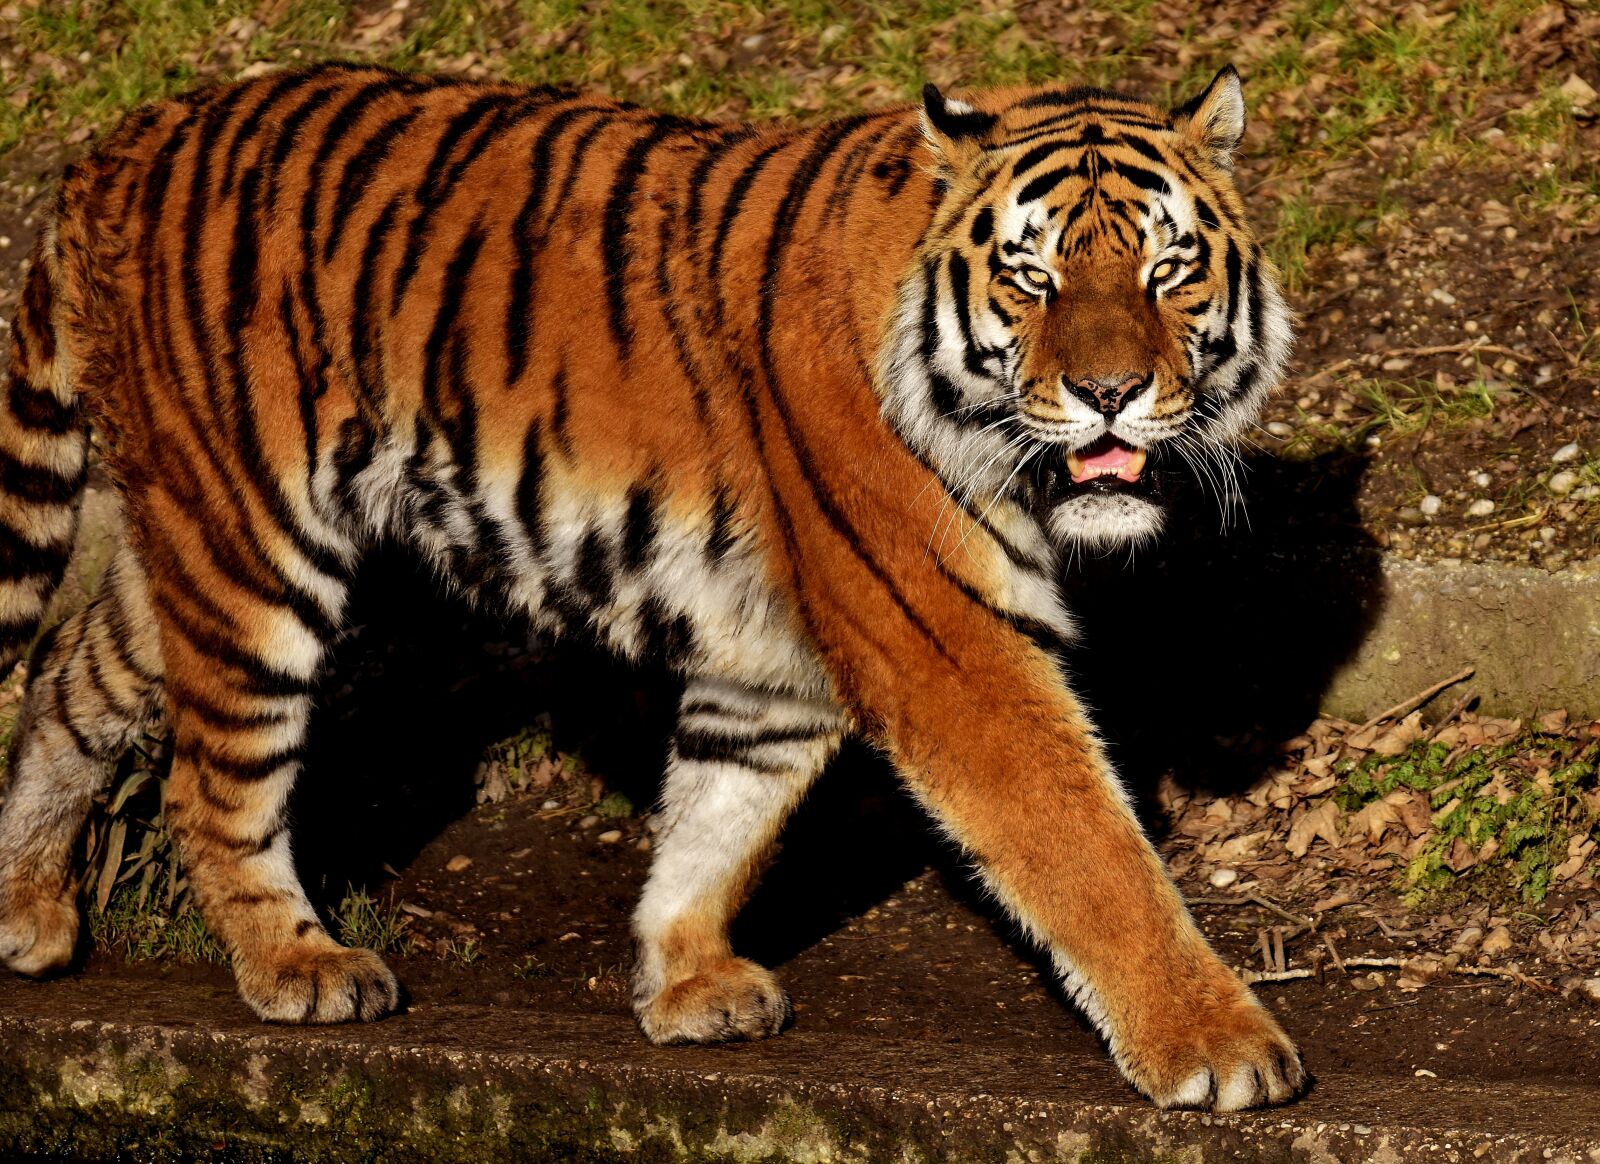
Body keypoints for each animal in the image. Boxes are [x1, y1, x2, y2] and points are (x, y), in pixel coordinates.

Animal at [0, 61, 1301, 1111]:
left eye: (1169, 269)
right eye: (1031, 278)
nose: (1110, 394)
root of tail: (118, 145)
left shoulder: (776, 658)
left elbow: (720, 814)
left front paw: (681, 980)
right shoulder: (946, 641)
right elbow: (1086, 851)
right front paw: (1217, 1047)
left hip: (183, 534)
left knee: (67, 677)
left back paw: (25, 913)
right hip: (255, 547)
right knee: (207, 777)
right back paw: (295, 969)